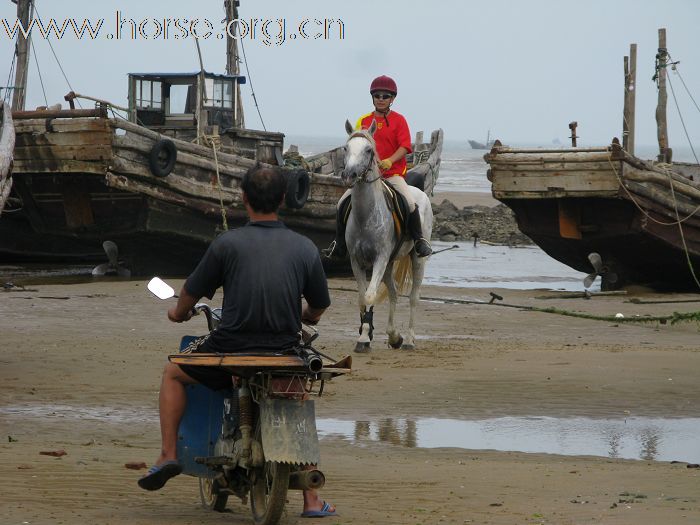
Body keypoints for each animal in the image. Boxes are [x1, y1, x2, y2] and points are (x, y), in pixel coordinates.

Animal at [340, 119, 432, 352]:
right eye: (346, 148)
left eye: (368, 150)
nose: (349, 175)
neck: (365, 216)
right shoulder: (357, 261)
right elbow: (362, 297)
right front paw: (365, 334)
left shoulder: (379, 259)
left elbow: (370, 295)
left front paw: (364, 338)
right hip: (389, 264)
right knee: (393, 292)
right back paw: (394, 336)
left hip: (416, 259)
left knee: (413, 297)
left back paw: (408, 340)